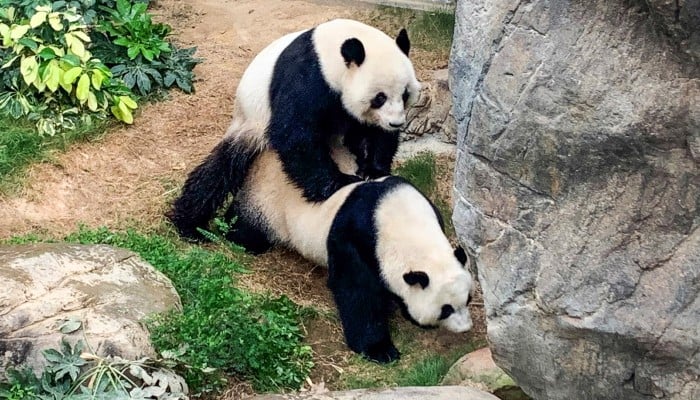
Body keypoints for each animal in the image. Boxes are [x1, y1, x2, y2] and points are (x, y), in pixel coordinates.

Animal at [168, 19, 422, 241]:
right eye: (379, 97)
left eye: (405, 94)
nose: (396, 123)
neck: (331, 54)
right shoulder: (307, 77)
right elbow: (294, 134)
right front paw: (339, 182)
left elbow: (374, 134)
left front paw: (373, 170)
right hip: (250, 122)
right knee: (219, 171)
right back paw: (190, 225)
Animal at [224, 123, 476, 364]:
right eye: (445, 310)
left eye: (468, 299)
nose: (465, 328)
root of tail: (266, 155)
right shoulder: (355, 237)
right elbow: (356, 291)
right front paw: (380, 349)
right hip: (267, 202)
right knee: (248, 227)